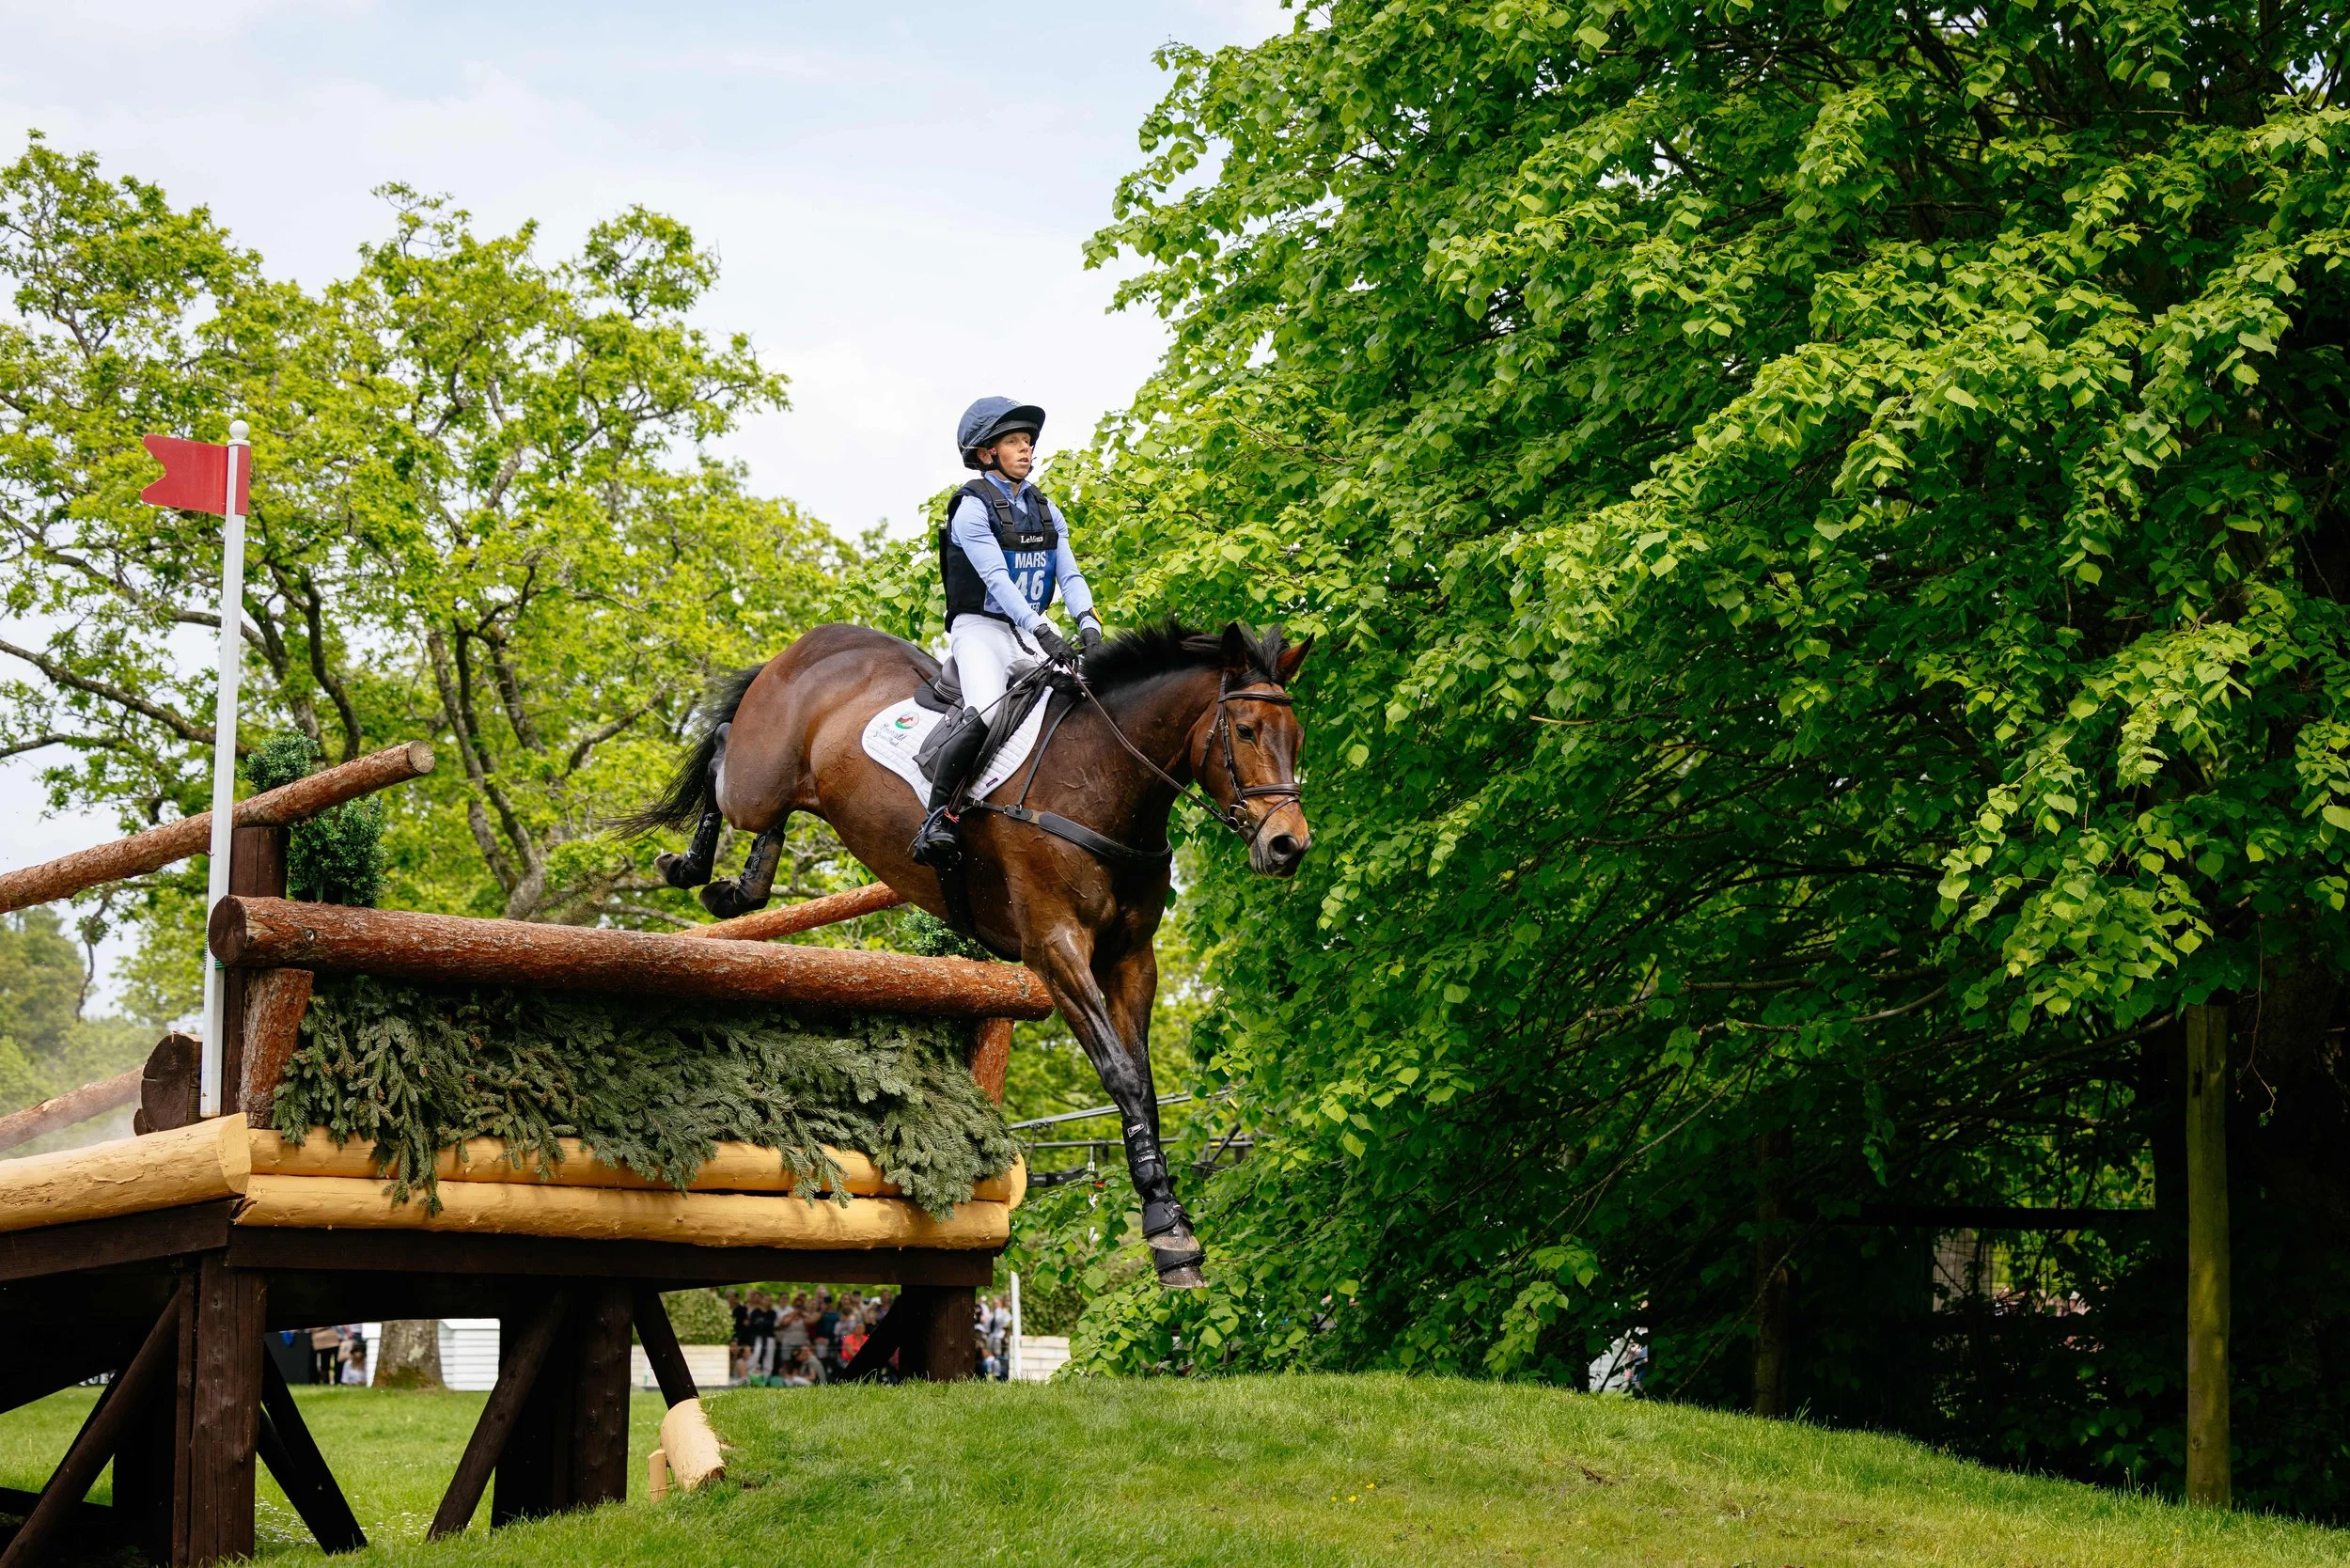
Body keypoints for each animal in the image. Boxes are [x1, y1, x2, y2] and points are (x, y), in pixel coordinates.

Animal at [619, 620, 1312, 1288]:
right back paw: (687, 864)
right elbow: (1120, 1074)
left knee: (764, 824)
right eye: (1245, 730)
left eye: (1297, 737)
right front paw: (1167, 1231)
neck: (1099, 777)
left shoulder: (1132, 960)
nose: (1288, 846)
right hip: (757, 780)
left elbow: (1140, 1080)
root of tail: (810, 644)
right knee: (723, 750)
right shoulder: (1056, 948)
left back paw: (739, 887)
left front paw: (1172, 1228)